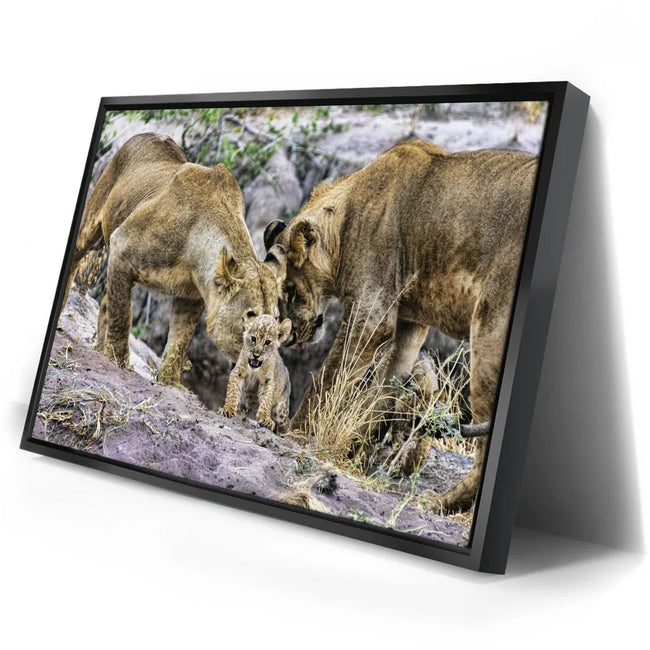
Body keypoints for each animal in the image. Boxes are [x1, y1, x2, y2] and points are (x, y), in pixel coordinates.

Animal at [65, 133, 286, 385]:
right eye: (251, 316)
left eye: (276, 321)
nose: (265, 353)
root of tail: (149, 135)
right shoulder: (121, 246)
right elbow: (122, 317)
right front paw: (116, 362)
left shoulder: (192, 297)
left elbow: (179, 343)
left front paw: (169, 382)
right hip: (95, 217)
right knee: (78, 257)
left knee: (106, 303)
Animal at [264, 139, 538, 512]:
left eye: (289, 290)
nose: (290, 337)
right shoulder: (410, 323)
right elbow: (383, 390)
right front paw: (355, 452)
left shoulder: (372, 314)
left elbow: (328, 376)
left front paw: (296, 432)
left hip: (489, 333)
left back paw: (441, 503)